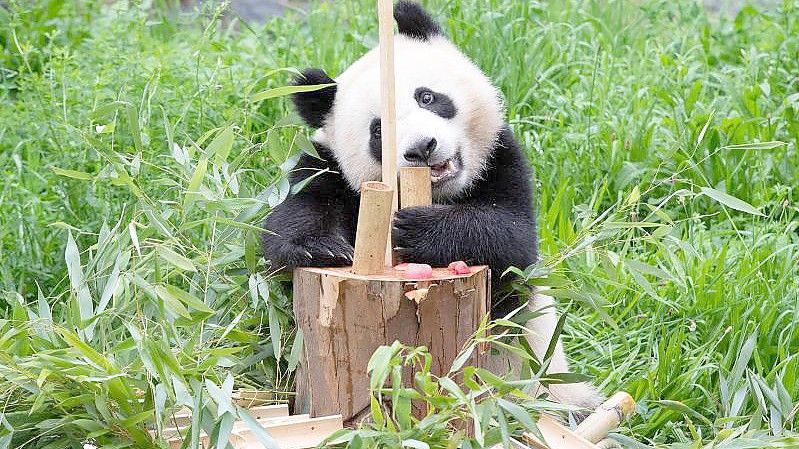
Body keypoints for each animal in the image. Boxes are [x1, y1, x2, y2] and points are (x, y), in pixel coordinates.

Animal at [266, 0, 604, 412]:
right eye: (378, 131)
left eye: (427, 97)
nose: (422, 147)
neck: (443, 194)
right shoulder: (326, 167)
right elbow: (292, 216)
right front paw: (322, 247)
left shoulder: (501, 159)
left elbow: (512, 238)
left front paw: (416, 229)